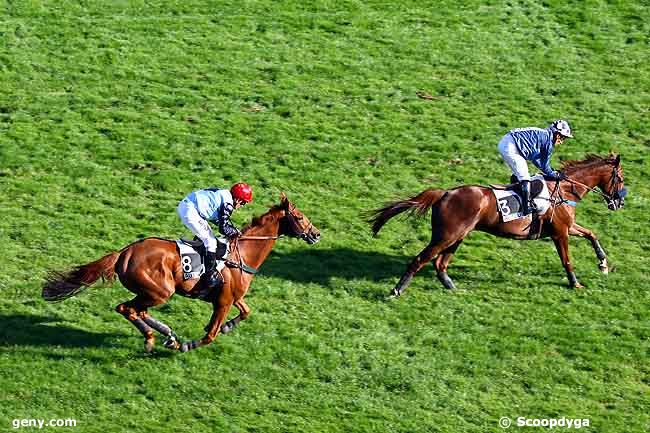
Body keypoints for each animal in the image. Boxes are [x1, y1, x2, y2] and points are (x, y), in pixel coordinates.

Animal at [41, 194, 320, 350]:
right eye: (299, 216)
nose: (316, 234)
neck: (242, 253)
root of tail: (125, 252)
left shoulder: (234, 297)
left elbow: (245, 312)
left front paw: (228, 326)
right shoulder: (223, 301)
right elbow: (210, 335)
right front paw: (190, 343)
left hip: (150, 293)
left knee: (136, 310)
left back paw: (166, 335)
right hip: (159, 292)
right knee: (127, 308)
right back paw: (156, 338)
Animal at [372, 153, 624, 296]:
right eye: (620, 178)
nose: (619, 202)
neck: (564, 191)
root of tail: (445, 193)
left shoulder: (568, 226)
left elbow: (591, 234)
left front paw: (603, 264)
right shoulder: (560, 232)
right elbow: (567, 259)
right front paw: (575, 283)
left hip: (458, 236)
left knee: (440, 264)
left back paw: (453, 288)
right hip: (446, 235)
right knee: (421, 260)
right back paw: (397, 290)